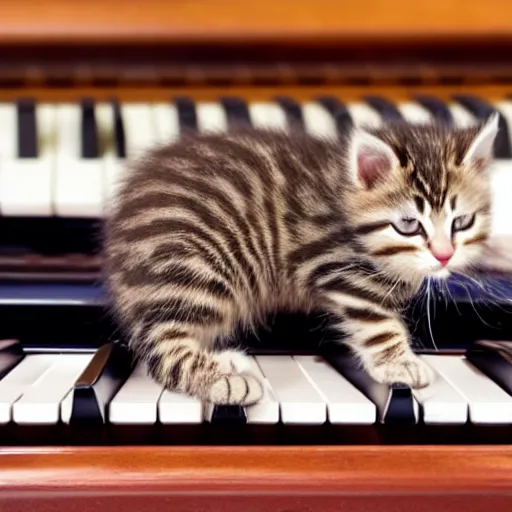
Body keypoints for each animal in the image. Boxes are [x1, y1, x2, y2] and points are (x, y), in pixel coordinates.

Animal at [104, 114, 500, 406]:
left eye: (462, 222)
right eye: (408, 225)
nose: (444, 255)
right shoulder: (335, 265)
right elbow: (376, 321)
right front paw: (400, 362)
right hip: (197, 265)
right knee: (161, 350)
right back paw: (228, 382)